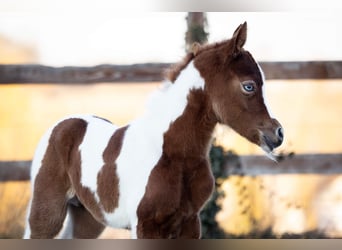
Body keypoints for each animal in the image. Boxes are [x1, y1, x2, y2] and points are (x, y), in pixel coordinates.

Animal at [23, 22, 284, 239]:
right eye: (248, 86)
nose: (278, 133)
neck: (175, 153)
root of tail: (62, 124)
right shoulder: (145, 225)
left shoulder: (190, 223)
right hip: (46, 211)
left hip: (87, 217)